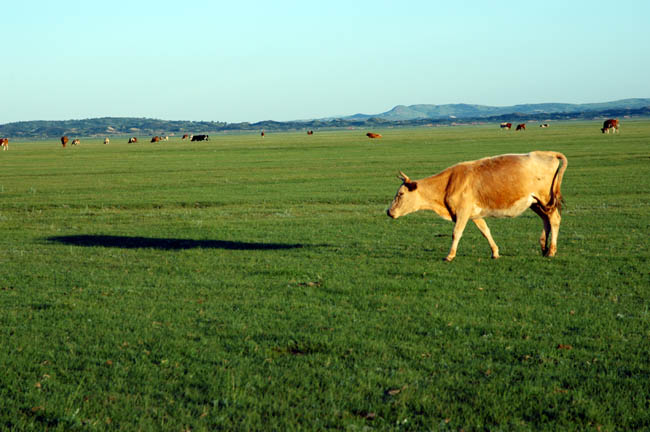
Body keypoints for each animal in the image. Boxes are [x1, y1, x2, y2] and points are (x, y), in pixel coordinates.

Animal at [384, 150, 568, 262]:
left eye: (400, 194)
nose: (389, 211)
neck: (448, 183)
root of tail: (547, 153)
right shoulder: (474, 215)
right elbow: (486, 231)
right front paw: (495, 252)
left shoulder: (463, 212)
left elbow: (456, 233)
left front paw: (450, 255)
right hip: (536, 203)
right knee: (546, 220)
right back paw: (544, 247)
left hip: (545, 199)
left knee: (554, 219)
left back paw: (551, 250)